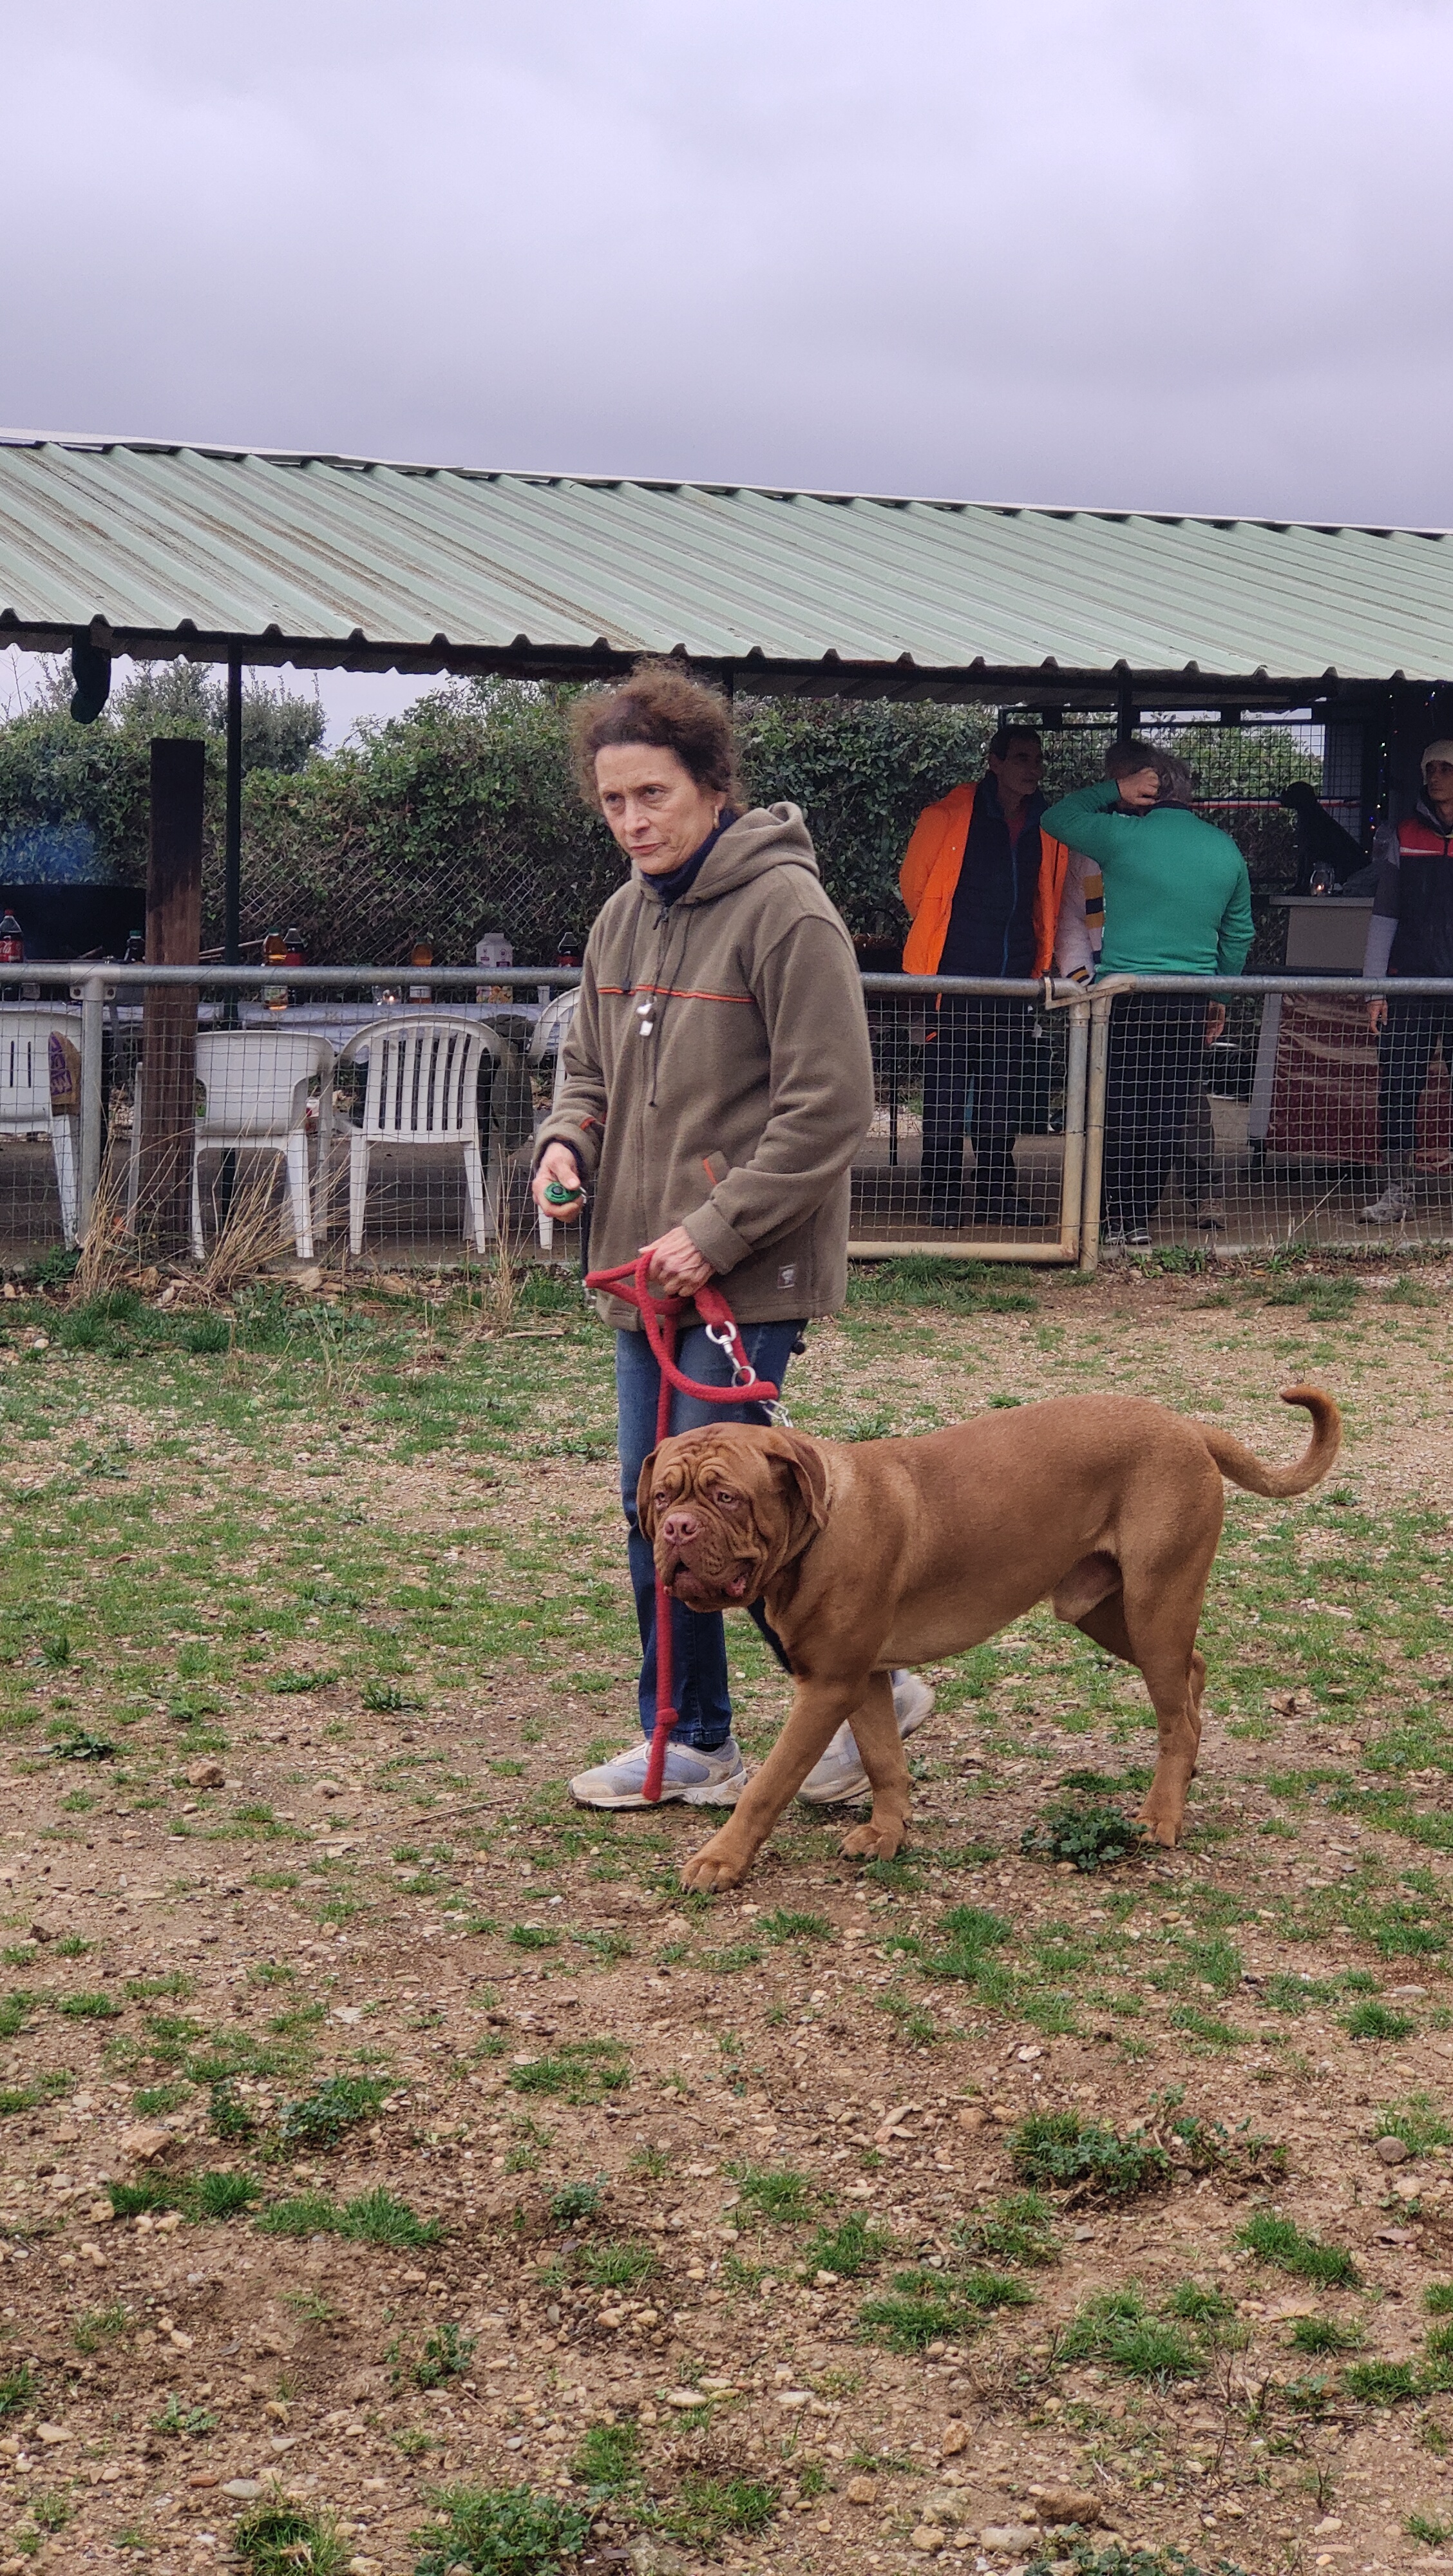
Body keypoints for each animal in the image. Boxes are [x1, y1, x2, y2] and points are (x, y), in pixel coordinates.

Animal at [636, 1387, 1339, 1891]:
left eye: (727, 1497)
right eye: (664, 1495)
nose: (675, 1529)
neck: (816, 1528)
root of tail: (1186, 1426)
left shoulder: (826, 1685)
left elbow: (768, 1785)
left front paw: (721, 1860)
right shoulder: (860, 1678)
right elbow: (884, 1760)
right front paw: (888, 1833)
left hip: (1154, 1606)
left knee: (1175, 1717)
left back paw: (1162, 1814)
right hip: (1106, 1611)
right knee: (1193, 1675)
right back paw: (1184, 1778)